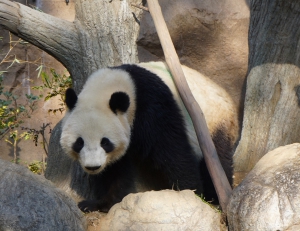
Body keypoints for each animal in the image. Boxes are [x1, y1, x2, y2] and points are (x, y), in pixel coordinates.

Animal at [60, 61, 239, 213]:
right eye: (79, 142)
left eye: (105, 142)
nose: (93, 167)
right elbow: (115, 168)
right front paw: (99, 203)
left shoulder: (152, 107)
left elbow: (172, 152)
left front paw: (189, 193)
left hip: (214, 122)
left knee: (216, 158)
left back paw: (214, 196)